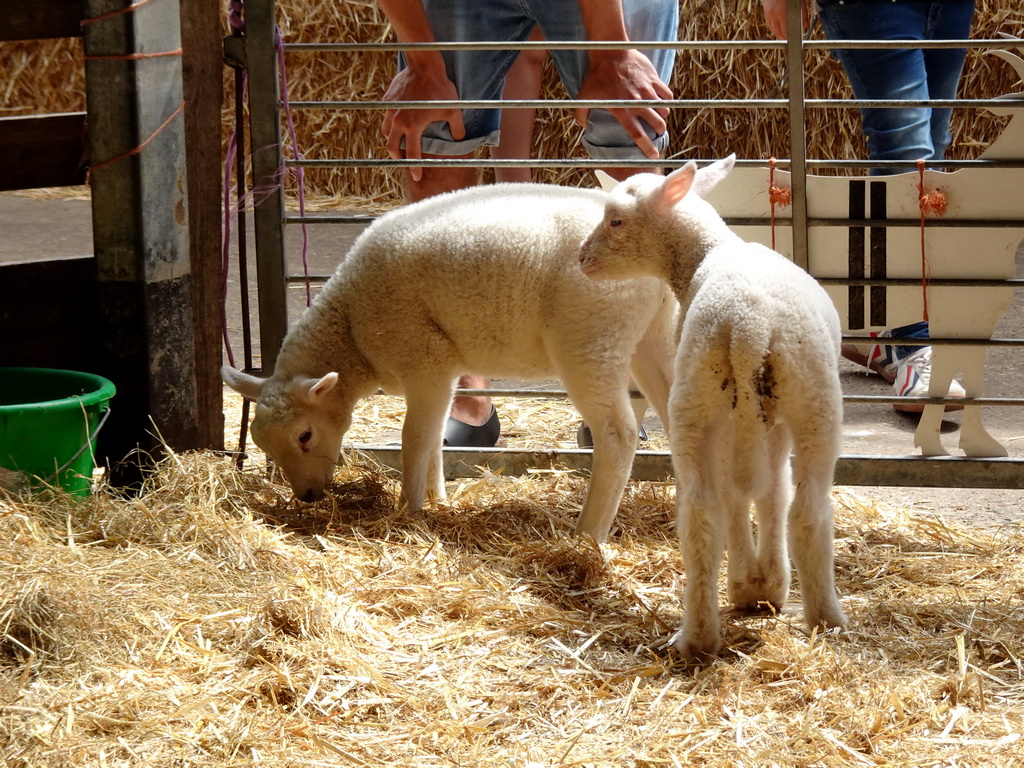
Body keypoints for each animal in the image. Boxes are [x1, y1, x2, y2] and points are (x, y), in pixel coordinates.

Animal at [222, 181, 679, 544]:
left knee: (617, 434)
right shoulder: (441, 369)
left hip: (590, 339)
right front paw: (436, 498)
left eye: (305, 435)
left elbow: (414, 438)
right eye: (262, 443)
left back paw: (588, 534)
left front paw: (409, 508)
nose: (307, 496)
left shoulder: (424, 359)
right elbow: (435, 436)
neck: (351, 327)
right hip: (652, 335)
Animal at [577, 157, 847, 663]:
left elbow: (766, 492)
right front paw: (760, 585)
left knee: (720, 510)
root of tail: (749, 326)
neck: (708, 253)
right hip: (791, 400)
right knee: (772, 509)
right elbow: (768, 492)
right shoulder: (765, 421)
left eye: (615, 220)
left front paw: (761, 585)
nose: (581, 259)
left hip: (725, 399)